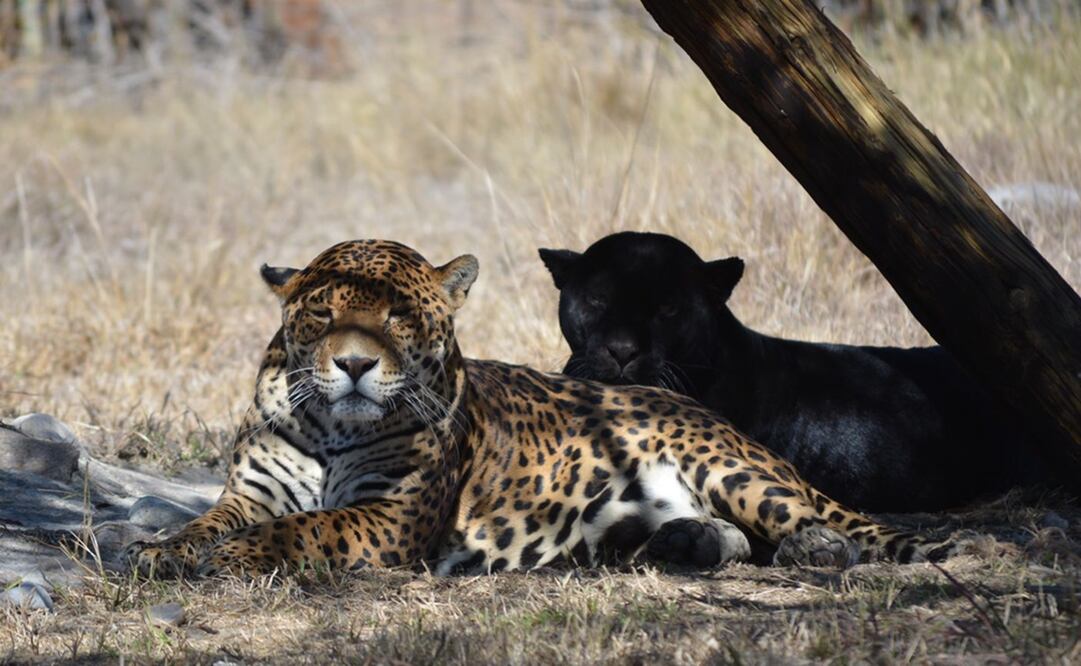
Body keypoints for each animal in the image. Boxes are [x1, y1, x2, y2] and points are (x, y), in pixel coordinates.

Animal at [124, 239, 951, 578]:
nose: (353, 365)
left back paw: (820, 549)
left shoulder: (387, 514)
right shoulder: (250, 494)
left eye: (398, 317)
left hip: (737, 472)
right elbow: (205, 521)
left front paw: (233, 556)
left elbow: (304, 527)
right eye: (322, 314)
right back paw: (682, 545)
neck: (330, 425)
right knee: (733, 539)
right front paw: (165, 549)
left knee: (829, 524)